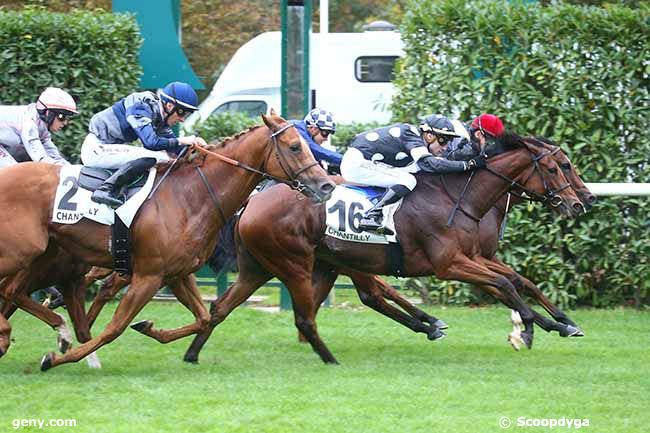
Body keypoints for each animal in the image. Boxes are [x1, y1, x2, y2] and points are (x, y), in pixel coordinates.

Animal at [0, 110, 334, 368]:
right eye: (295, 147)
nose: (327, 185)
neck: (191, 196)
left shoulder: (177, 274)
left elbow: (205, 317)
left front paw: (149, 327)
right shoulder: (148, 276)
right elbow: (113, 329)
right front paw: (55, 358)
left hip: (48, 260)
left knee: (14, 292)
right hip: (22, 254)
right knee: (11, 291)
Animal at [177, 134, 588, 362]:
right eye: (559, 167)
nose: (582, 202)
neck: (460, 196)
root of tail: (252, 202)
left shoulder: (476, 256)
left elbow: (519, 281)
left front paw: (562, 322)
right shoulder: (451, 263)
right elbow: (505, 285)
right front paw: (528, 328)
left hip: (281, 264)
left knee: (223, 306)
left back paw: (193, 353)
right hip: (300, 260)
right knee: (361, 296)